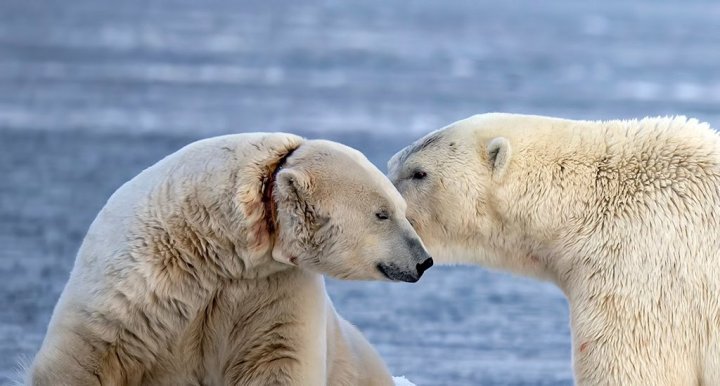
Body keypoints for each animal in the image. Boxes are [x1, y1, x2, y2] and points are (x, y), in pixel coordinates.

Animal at [26, 133, 434, 386]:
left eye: (402, 209)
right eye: (382, 214)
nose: (423, 261)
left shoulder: (271, 287)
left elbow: (276, 359)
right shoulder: (139, 285)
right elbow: (84, 360)